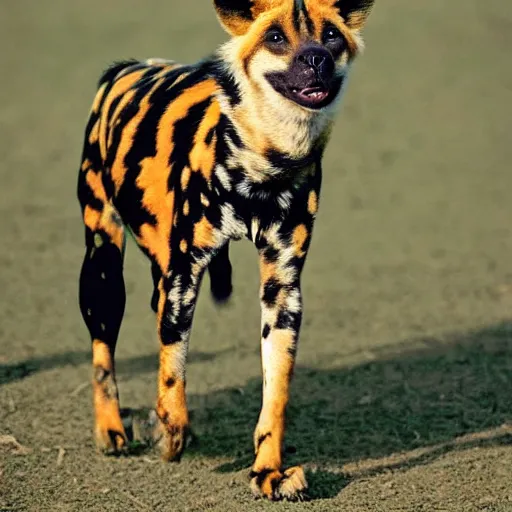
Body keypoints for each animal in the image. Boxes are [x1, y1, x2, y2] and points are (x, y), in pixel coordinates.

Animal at [78, 0, 376, 500]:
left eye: (332, 35)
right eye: (275, 37)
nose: (315, 59)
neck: (264, 162)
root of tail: (125, 69)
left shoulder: (282, 293)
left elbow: (274, 395)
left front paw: (268, 472)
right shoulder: (185, 278)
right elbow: (173, 377)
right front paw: (169, 435)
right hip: (103, 274)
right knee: (105, 353)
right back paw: (111, 429)